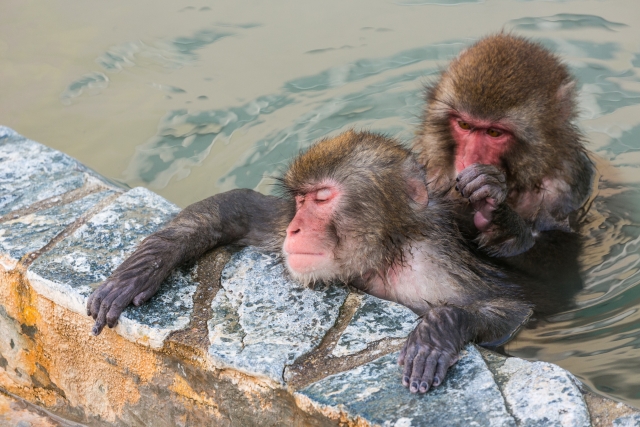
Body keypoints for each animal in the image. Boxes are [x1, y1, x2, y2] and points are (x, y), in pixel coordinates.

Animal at [86, 130, 536, 394]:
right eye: (301, 200)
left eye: (322, 198)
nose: (296, 229)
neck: (380, 255)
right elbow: (240, 207)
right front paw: (137, 272)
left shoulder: (436, 266)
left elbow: (509, 309)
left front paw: (436, 333)